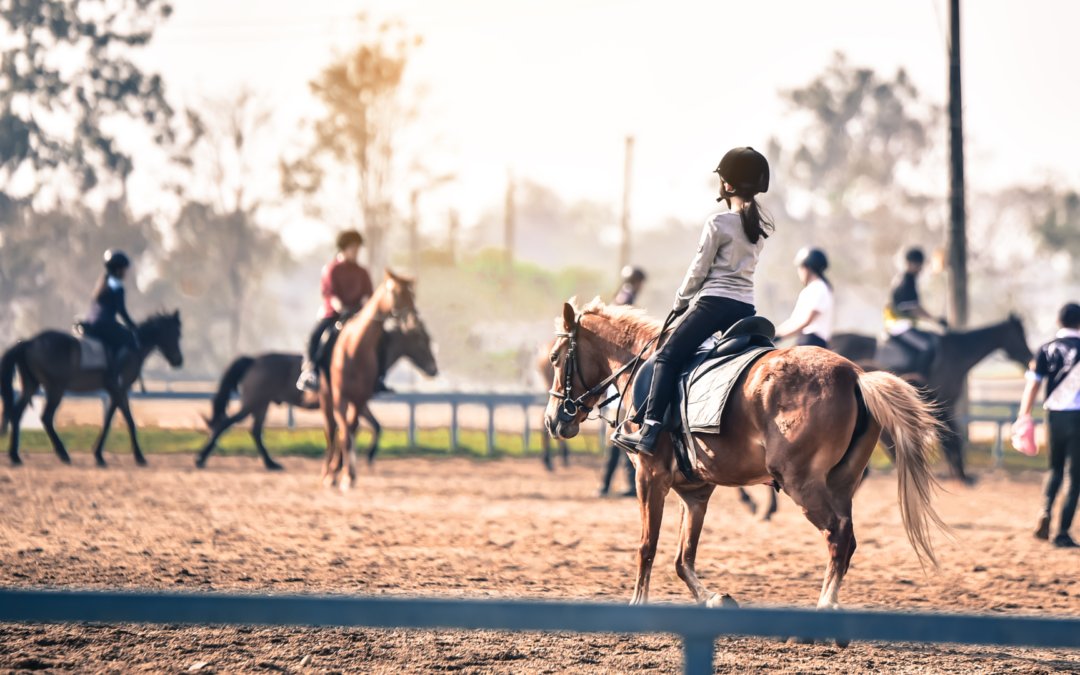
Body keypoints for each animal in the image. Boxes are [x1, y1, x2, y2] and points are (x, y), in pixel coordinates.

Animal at [0, 311, 183, 466]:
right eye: (176, 334)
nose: (178, 361)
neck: (134, 347)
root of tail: (30, 342)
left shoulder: (114, 391)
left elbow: (108, 420)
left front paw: (99, 455)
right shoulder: (121, 389)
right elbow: (129, 421)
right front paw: (139, 456)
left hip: (30, 386)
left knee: (17, 414)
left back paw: (15, 456)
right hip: (55, 389)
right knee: (46, 417)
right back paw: (63, 454)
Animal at [321, 271, 436, 486]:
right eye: (421, 340)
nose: (434, 369)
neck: (355, 349)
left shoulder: (360, 400)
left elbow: (363, 428)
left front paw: (352, 468)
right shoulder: (341, 397)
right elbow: (346, 434)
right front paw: (342, 473)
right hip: (326, 398)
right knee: (330, 431)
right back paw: (327, 472)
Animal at [544, 298, 941, 609]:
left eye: (554, 359)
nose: (552, 420)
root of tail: (856, 374)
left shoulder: (650, 476)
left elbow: (647, 546)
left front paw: (637, 603)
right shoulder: (695, 492)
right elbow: (683, 558)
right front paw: (713, 598)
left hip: (801, 483)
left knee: (837, 535)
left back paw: (826, 606)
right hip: (841, 484)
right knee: (847, 539)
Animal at [829, 313, 1032, 481]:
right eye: (1019, 335)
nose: (1030, 358)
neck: (956, 354)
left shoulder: (944, 405)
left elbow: (950, 436)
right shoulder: (943, 404)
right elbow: (950, 437)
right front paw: (956, 471)